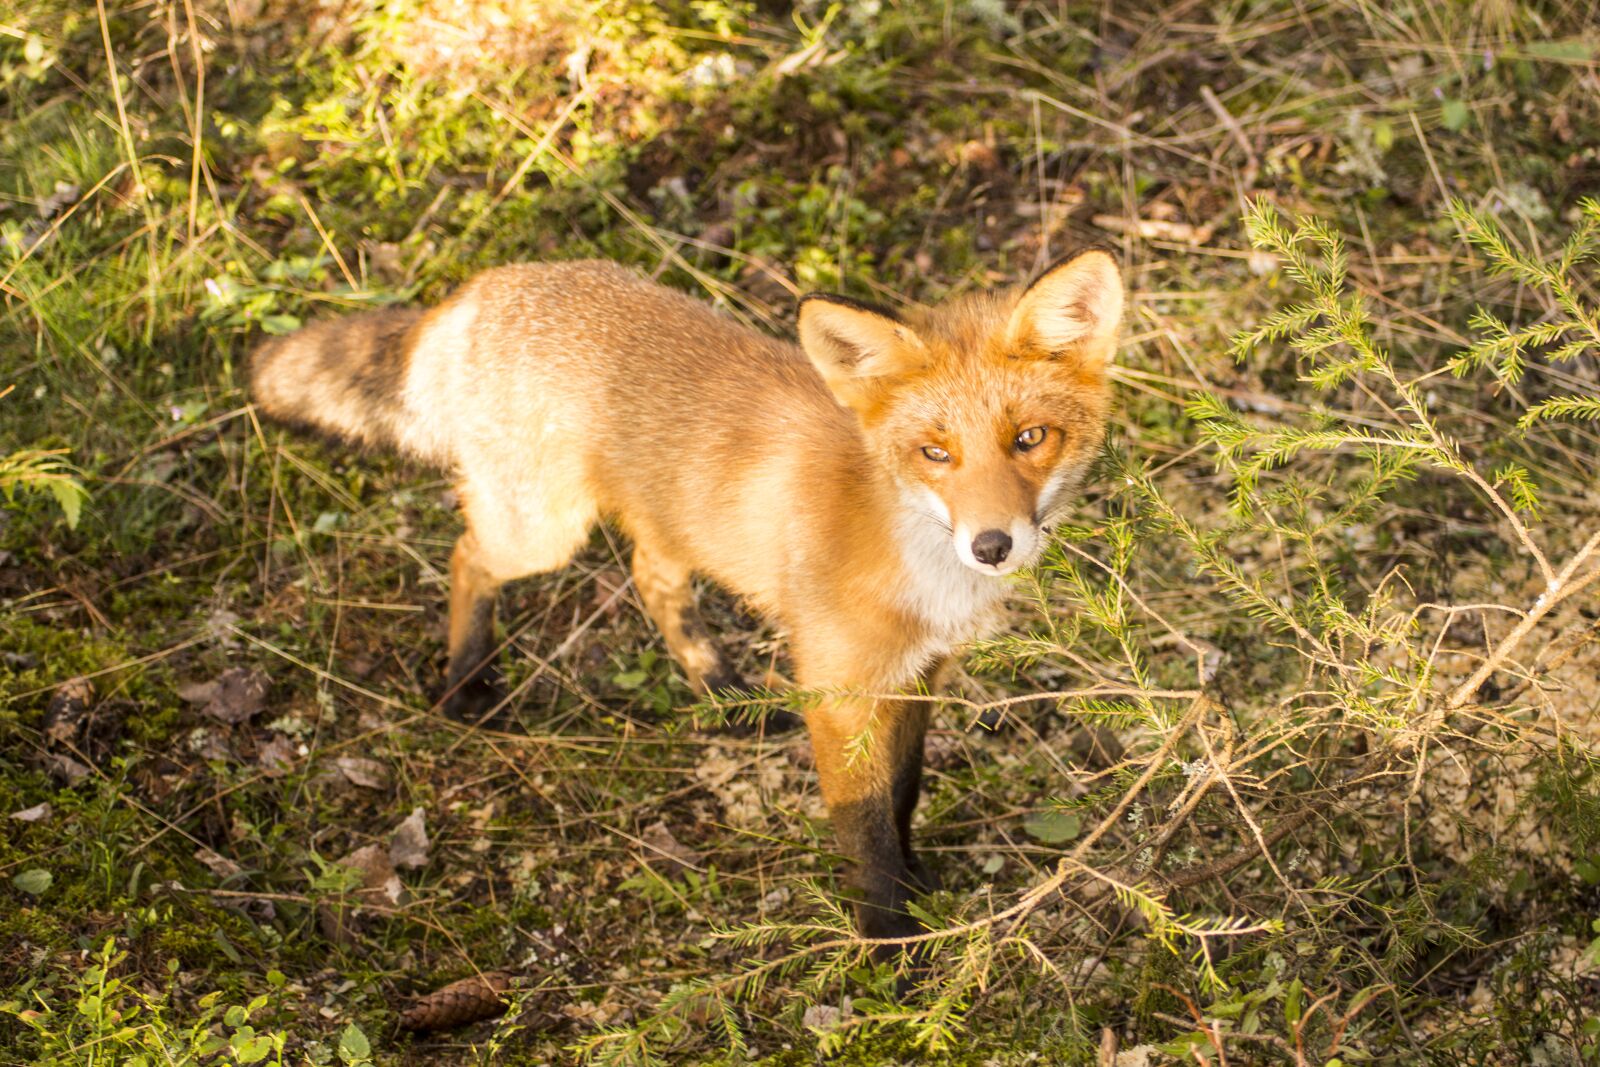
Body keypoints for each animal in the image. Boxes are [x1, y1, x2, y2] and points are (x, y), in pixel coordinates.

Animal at [252, 247, 1126, 953]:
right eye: (934, 453)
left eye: (1030, 439)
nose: (992, 545)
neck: (912, 551)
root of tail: (477, 288)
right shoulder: (840, 689)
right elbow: (864, 822)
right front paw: (889, 937)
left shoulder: (917, 674)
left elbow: (904, 794)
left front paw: (915, 883)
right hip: (543, 532)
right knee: (467, 557)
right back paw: (466, 681)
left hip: (662, 523)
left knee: (650, 576)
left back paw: (716, 685)